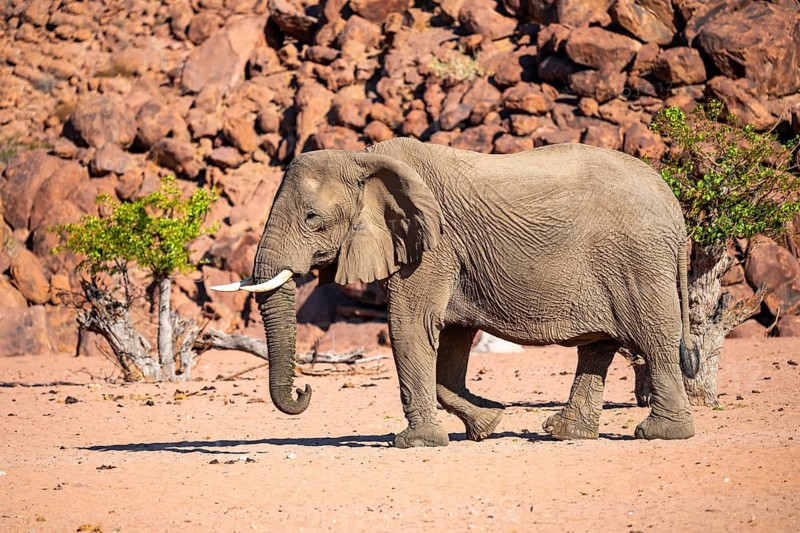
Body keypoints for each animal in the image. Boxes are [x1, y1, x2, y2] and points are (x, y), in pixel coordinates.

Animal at [211, 137, 699, 448]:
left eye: (312, 219)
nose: (305, 390)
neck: (363, 158)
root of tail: (675, 210)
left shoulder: (434, 245)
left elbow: (409, 327)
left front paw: (414, 443)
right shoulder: (450, 256)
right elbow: (450, 341)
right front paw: (489, 421)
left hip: (639, 261)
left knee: (654, 340)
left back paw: (659, 434)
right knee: (598, 346)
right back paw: (564, 433)